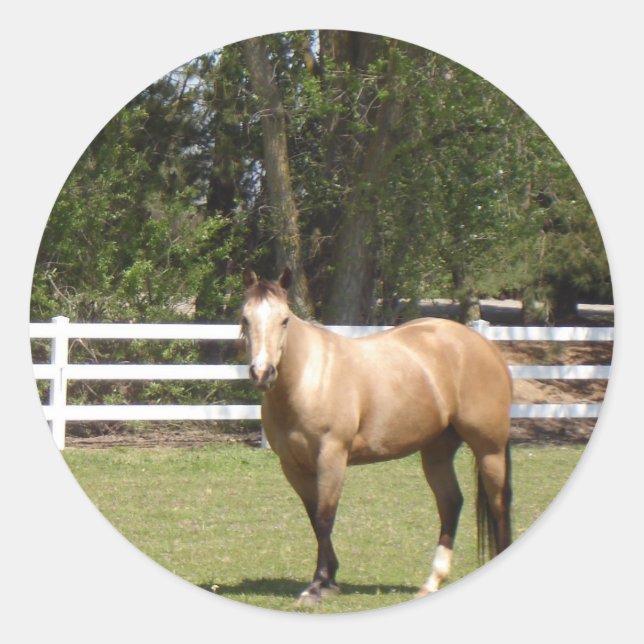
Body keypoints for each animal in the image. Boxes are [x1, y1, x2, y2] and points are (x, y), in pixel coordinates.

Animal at [240, 267, 513, 607]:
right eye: (245, 319)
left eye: (284, 320)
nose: (262, 373)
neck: (309, 378)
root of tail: (486, 347)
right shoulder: (293, 467)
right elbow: (314, 519)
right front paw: (330, 580)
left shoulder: (332, 458)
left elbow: (325, 517)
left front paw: (317, 586)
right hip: (436, 452)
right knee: (451, 503)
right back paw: (432, 581)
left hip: (490, 449)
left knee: (498, 504)